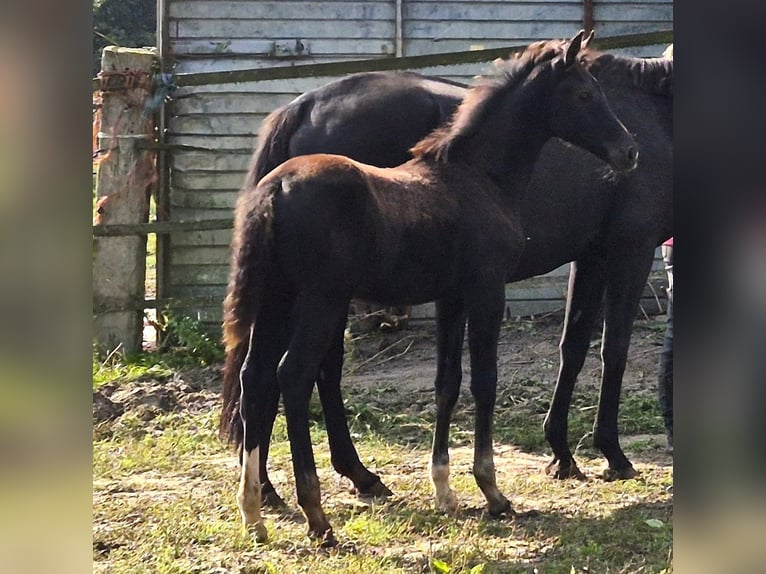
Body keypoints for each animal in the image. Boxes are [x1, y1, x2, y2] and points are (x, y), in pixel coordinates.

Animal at [225, 32, 640, 548]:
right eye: (584, 93)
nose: (630, 151)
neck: (479, 177)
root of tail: (275, 189)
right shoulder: (487, 290)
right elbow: (485, 382)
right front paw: (492, 492)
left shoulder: (451, 297)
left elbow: (447, 383)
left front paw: (445, 492)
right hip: (321, 300)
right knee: (295, 375)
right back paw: (318, 516)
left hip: (277, 299)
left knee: (255, 377)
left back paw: (254, 512)